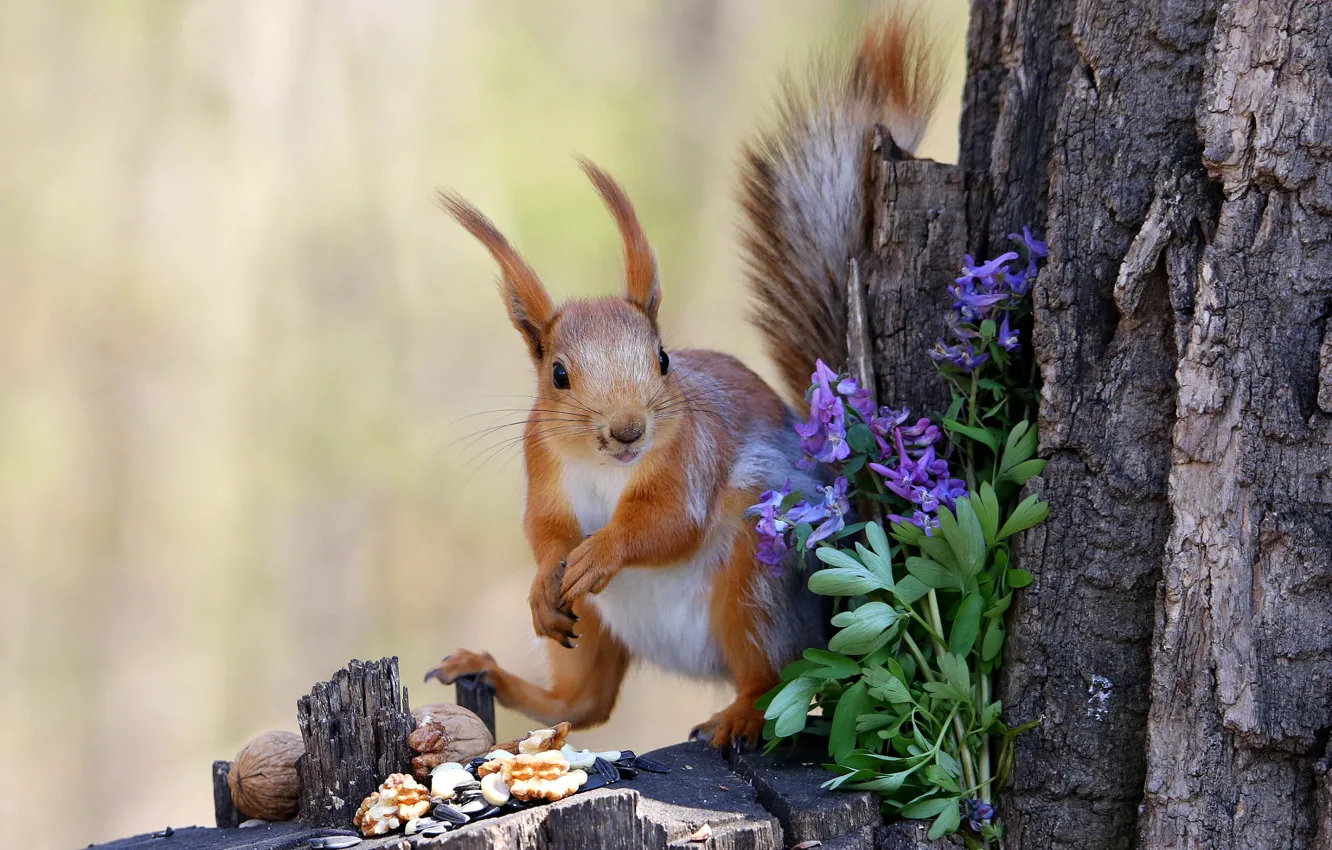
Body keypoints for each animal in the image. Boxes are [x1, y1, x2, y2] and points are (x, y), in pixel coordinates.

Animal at [425, 8, 943, 749]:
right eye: (558, 374)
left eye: (663, 359)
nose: (627, 430)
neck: (606, 468)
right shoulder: (541, 463)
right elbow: (544, 529)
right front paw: (544, 576)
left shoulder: (690, 458)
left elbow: (669, 522)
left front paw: (603, 550)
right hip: (596, 624)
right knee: (585, 702)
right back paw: (492, 670)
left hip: (756, 581)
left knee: (772, 676)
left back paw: (740, 714)